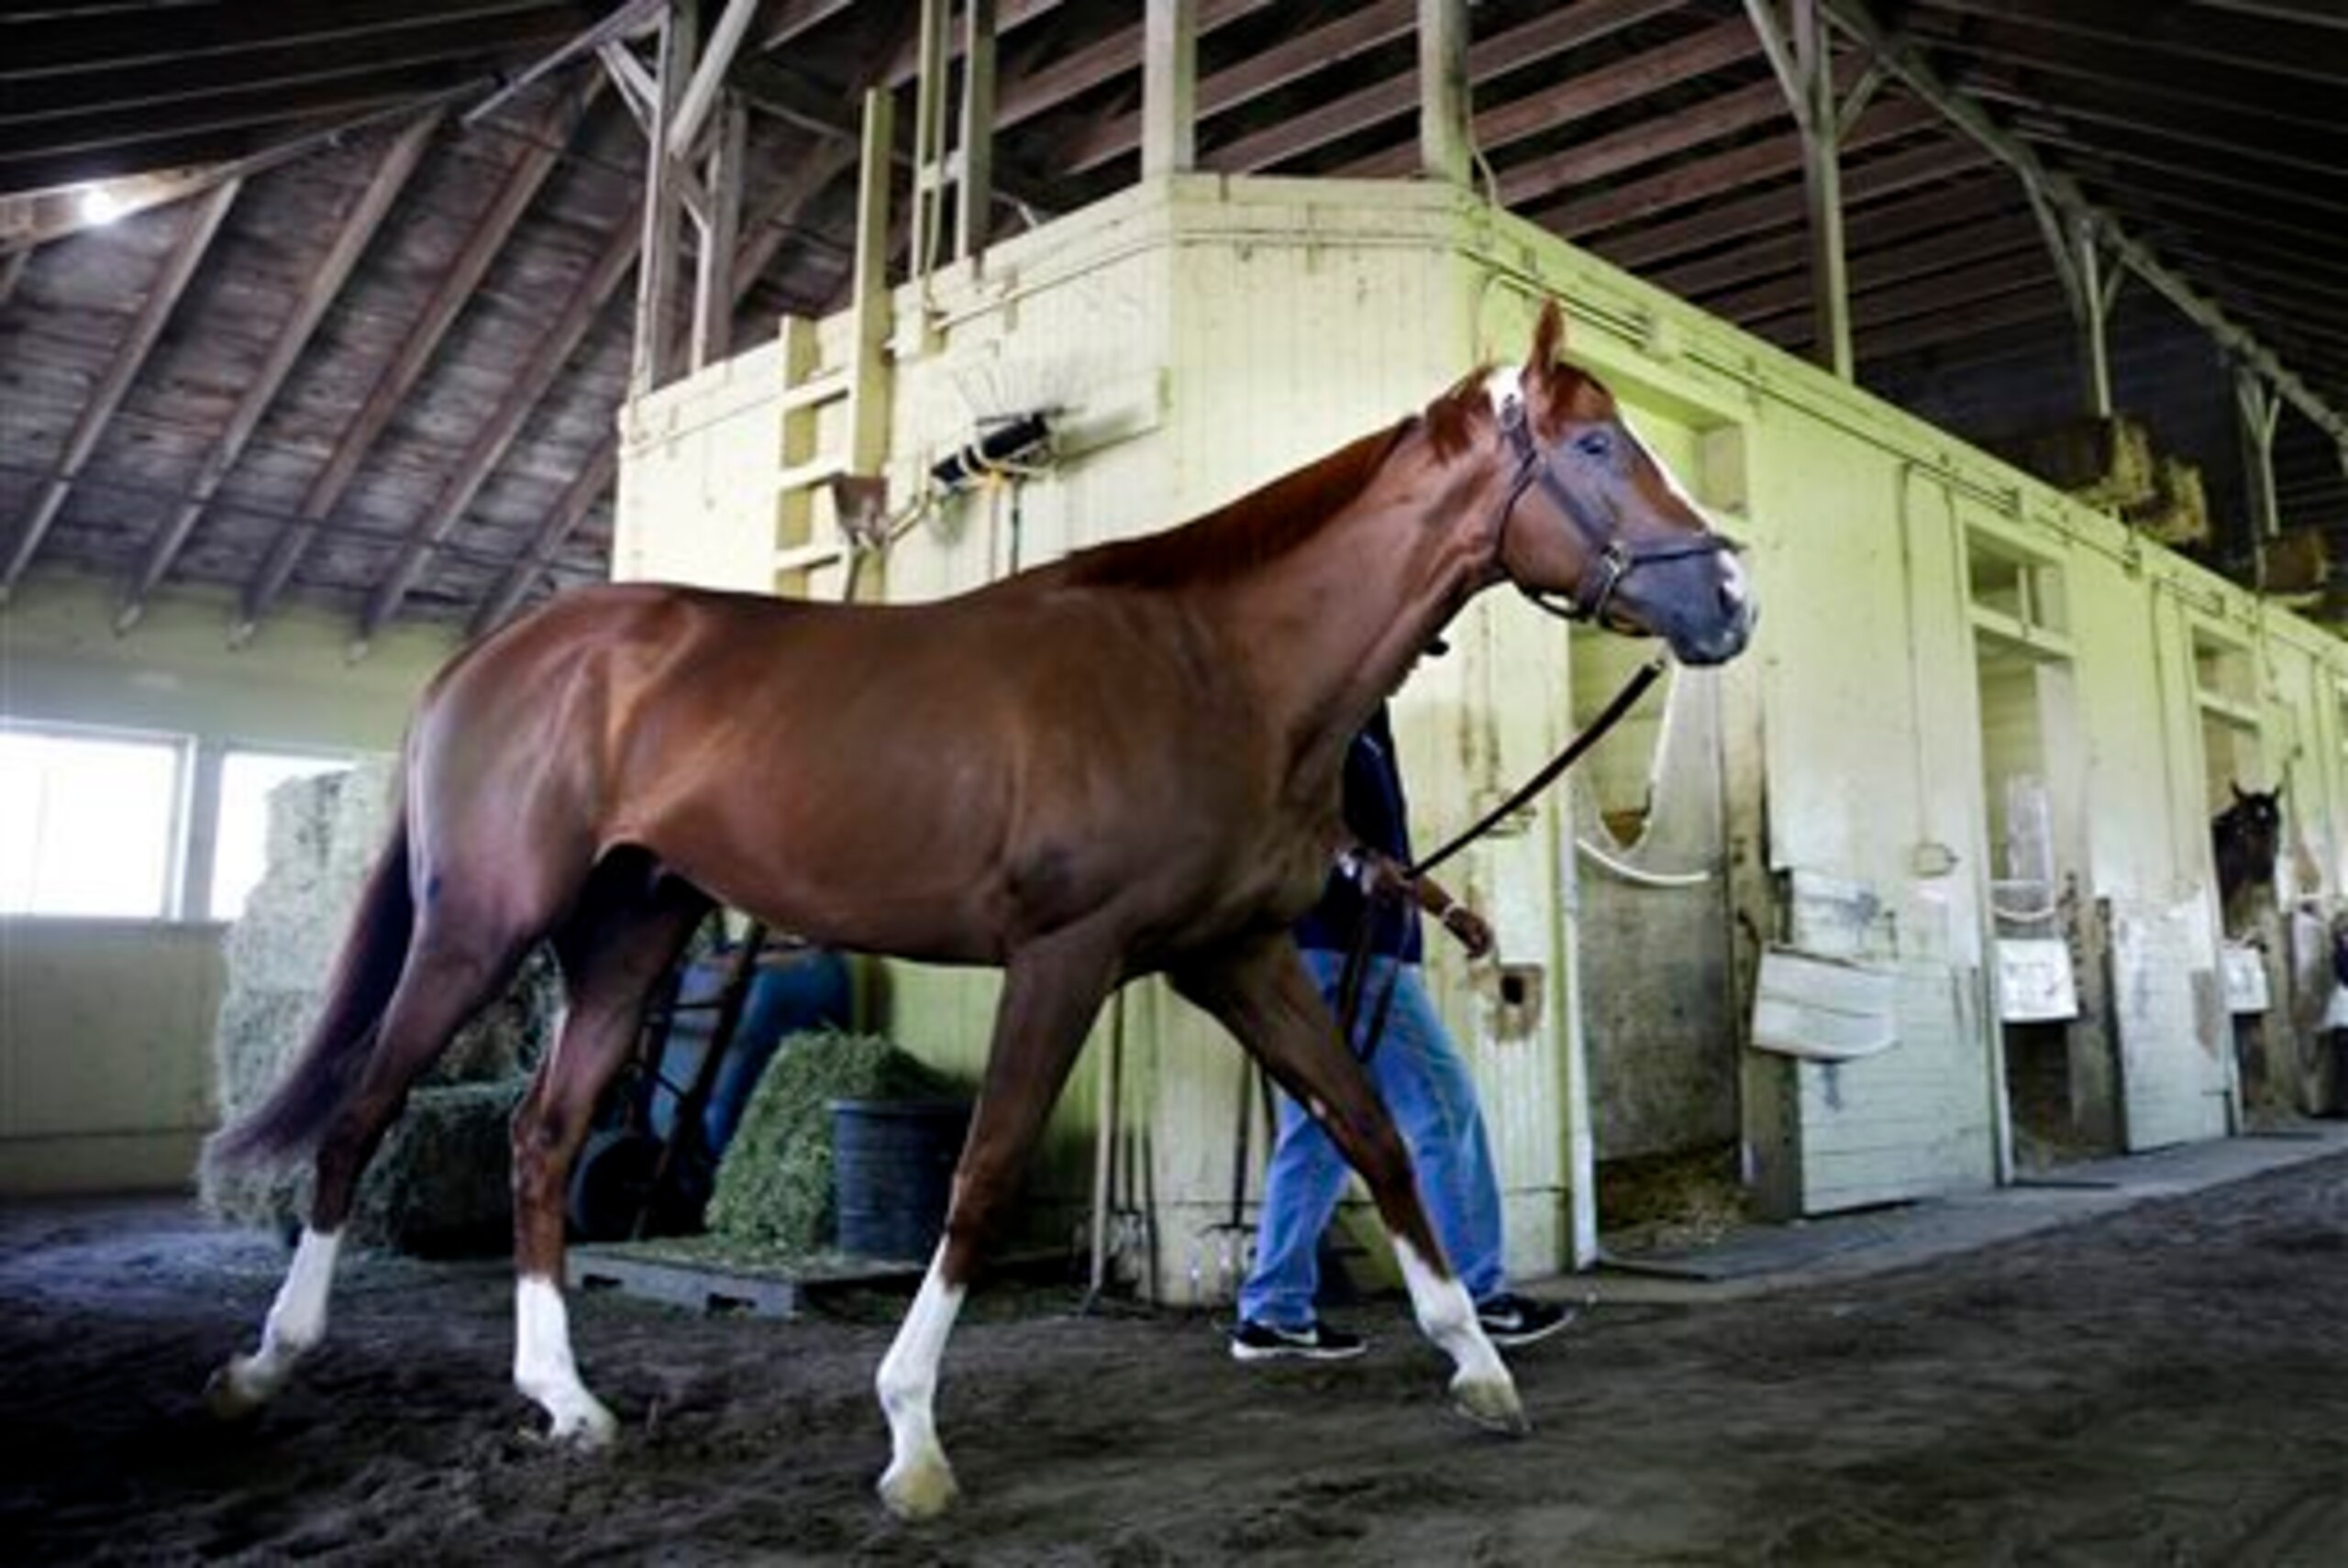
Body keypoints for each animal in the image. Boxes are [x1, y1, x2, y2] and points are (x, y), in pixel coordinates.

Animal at [205, 300, 1754, 1520]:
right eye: (1600, 450)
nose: (1730, 598)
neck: (1213, 668)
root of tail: (491, 656)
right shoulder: (1065, 959)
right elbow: (987, 1168)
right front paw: (911, 1438)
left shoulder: (1236, 956)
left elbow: (1370, 1129)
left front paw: (1479, 1364)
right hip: (482, 922)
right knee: (363, 1111)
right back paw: (267, 1361)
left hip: (630, 931)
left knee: (541, 1134)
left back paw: (568, 1403)